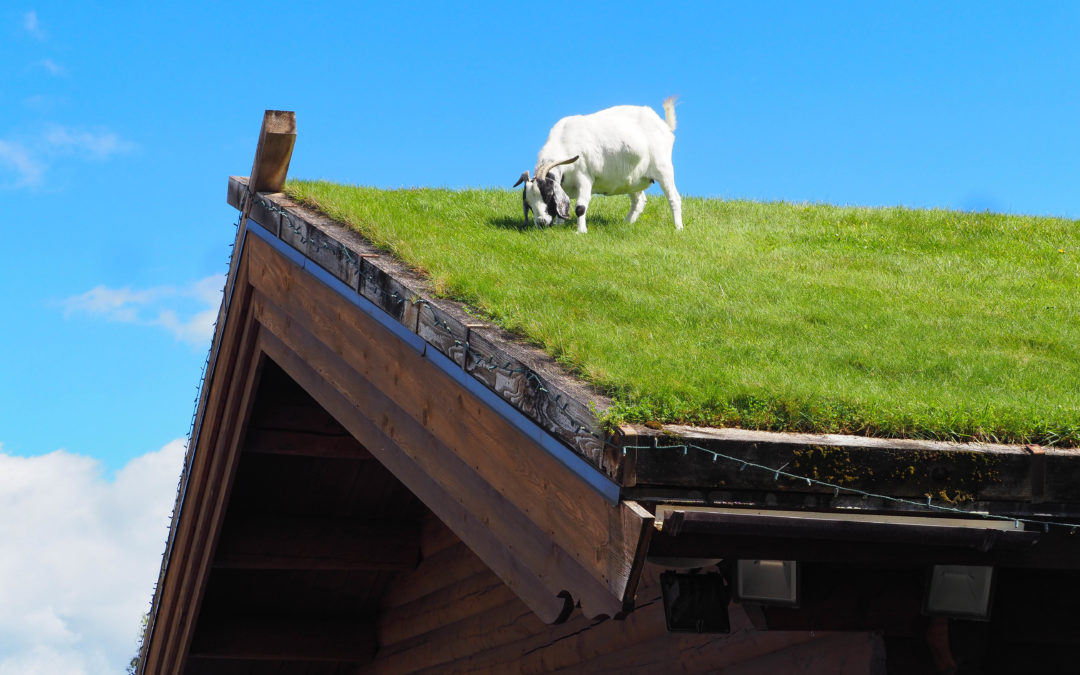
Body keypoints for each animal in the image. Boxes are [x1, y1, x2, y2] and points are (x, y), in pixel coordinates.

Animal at [513, 97, 682, 233]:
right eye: (528, 203)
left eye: (548, 195)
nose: (541, 222)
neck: (564, 142)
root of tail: (664, 125)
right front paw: (559, 225)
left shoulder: (584, 177)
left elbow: (580, 207)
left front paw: (580, 231)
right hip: (633, 179)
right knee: (639, 201)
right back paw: (626, 224)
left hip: (663, 168)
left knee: (674, 198)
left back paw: (678, 228)